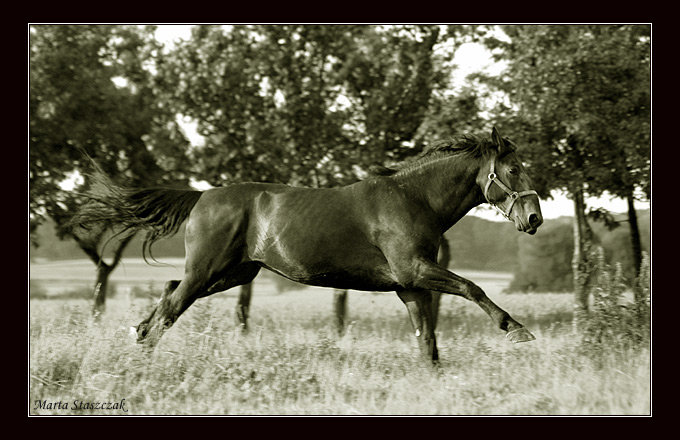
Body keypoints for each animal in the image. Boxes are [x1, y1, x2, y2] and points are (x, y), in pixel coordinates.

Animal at [74, 126, 540, 360]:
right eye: (514, 169)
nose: (534, 218)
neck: (413, 199)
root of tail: (202, 196)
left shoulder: (410, 284)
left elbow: (426, 338)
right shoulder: (416, 271)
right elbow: (473, 288)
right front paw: (517, 331)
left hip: (232, 274)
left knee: (170, 293)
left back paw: (138, 335)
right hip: (208, 270)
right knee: (173, 303)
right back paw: (143, 352)